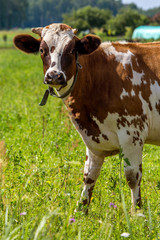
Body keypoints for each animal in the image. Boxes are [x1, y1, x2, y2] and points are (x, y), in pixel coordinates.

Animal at [13, 23, 160, 213]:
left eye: (71, 49)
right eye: (41, 50)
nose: (54, 76)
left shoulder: (132, 133)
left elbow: (132, 176)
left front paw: (137, 214)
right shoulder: (92, 140)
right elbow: (89, 176)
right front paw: (80, 212)